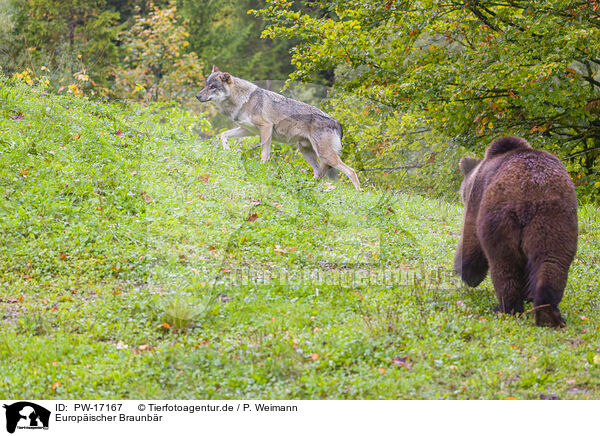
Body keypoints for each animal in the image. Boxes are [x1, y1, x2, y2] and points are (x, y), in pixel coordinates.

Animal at [197, 65, 360, 190]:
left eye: (213, 87)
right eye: (206, 85)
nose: (197, 96)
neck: (244, 100)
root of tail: (337, 123)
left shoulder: (266, 128)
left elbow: (264, 154)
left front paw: (262, 169)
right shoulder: (248, 130)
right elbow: (223, 134)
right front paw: (227, 149)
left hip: (325, 155)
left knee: (351, 171)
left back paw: (359, 192)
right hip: (306, 151)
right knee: (319, 173)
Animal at [458, 136, 580, 328]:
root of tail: (530, 191)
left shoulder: (477, 198)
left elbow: (471, 239)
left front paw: (467, 274)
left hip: (501, 217)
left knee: (504, 263)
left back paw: (507, 308)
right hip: (555, 218)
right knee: (552, 260)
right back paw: (547, 314)